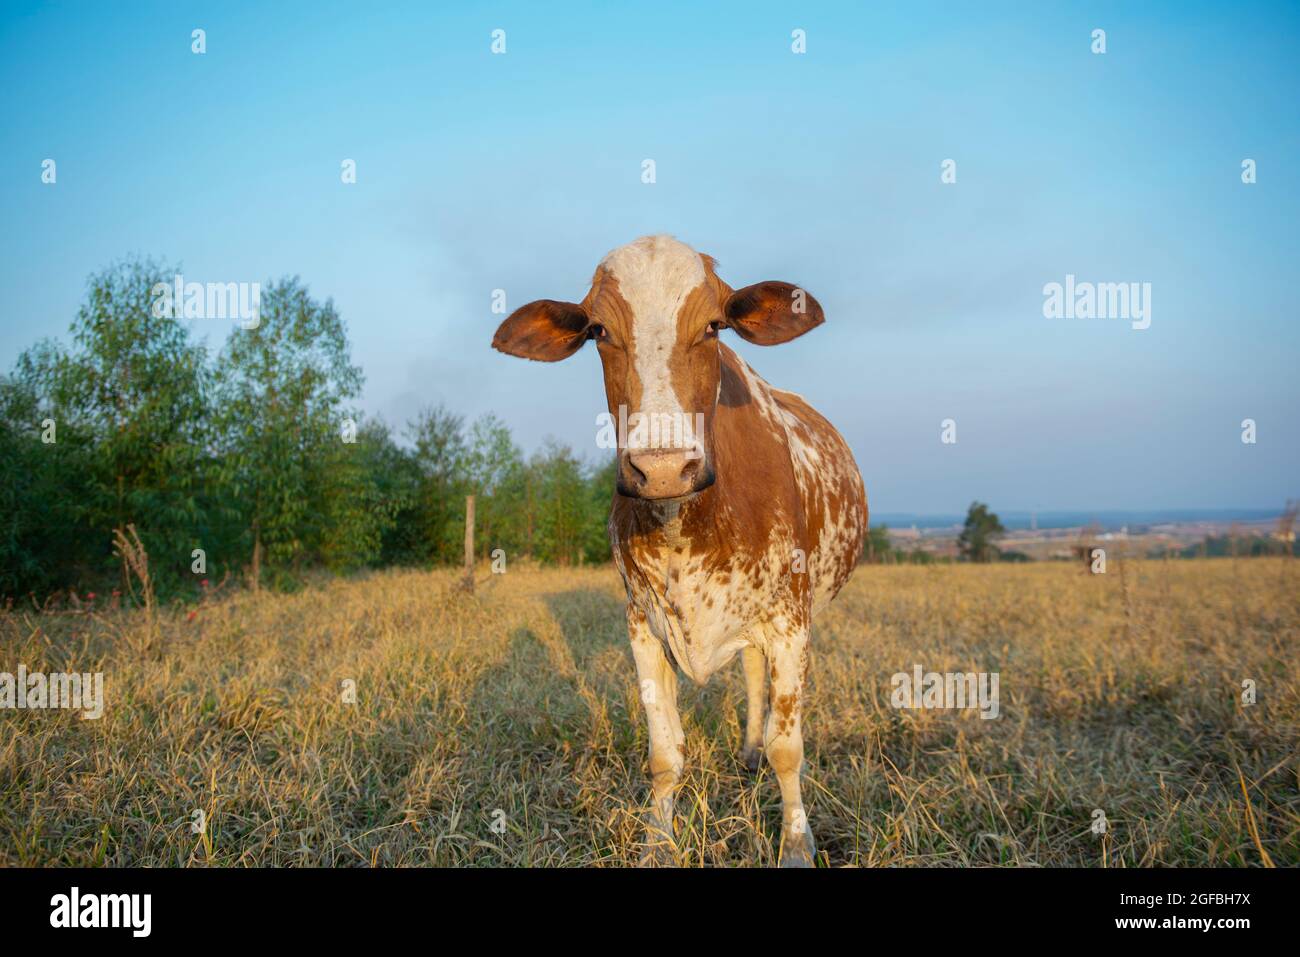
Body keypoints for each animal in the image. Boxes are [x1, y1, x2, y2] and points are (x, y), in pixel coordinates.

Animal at [491, 234, 868, 868]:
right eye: (598, 330)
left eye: (715, 326)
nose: (663, 467)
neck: (686, 527)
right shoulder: (641, 624)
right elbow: (664, 752)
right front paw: (658, 841)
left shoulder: (791, 623)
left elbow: (788, 748)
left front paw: (795, 842)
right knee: (750, 673)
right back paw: (746, 753)